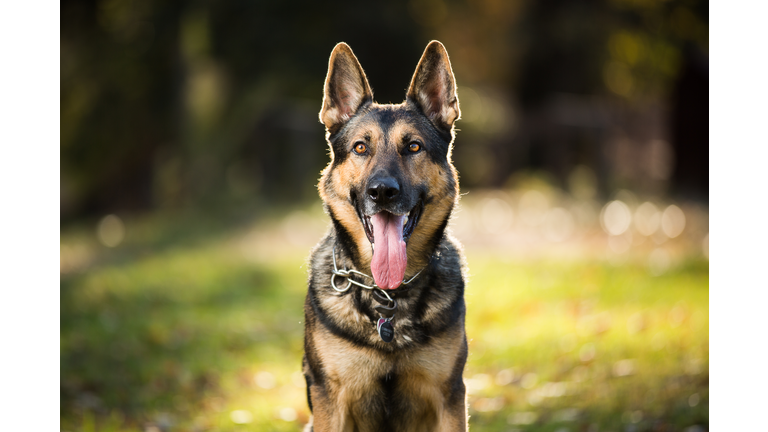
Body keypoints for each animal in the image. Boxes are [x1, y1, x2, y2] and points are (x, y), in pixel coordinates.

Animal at [302, 41, 468, 432]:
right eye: (361, 148)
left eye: (414, 147)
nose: (382, 192)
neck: (388, 296)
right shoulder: (329, 401)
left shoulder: (451, 397)